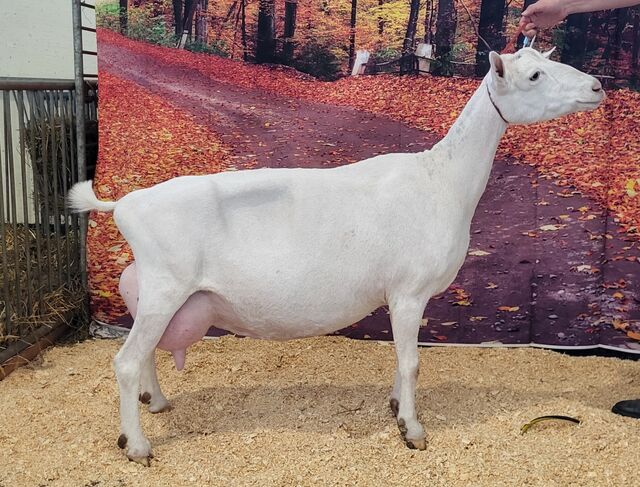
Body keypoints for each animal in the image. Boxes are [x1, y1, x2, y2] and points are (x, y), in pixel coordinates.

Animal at [70, 49, 604, 466]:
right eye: (533, 75)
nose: (598, 86)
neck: (441, 179)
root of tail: (126, 204)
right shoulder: (409, 291)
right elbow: (412, 362)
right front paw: (412, 431)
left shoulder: (399, 296)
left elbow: (401, 360)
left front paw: (394, 406)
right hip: (165, 286)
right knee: (125, 361)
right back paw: (137, 446)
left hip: (160, 295)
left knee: (144, 356)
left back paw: (157, 403)